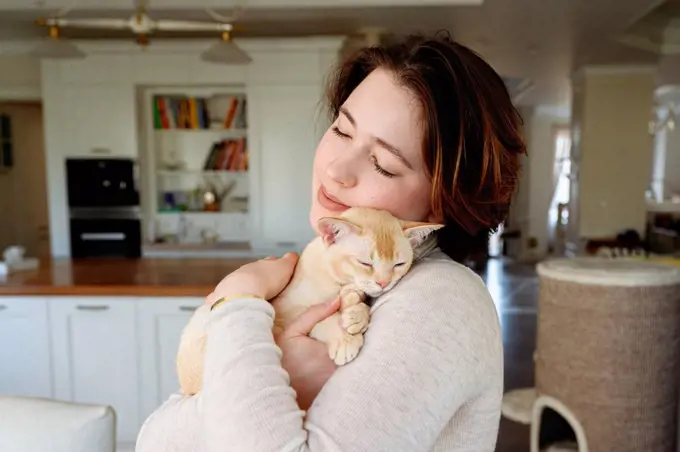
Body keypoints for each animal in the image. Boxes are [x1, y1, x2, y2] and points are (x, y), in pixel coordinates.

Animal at [175, 207, 444, 396]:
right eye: (366, 262)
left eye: (399, 264)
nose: (384, 283)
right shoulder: (285, 315)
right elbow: (323, 318)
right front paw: (345, 338)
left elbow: (354, 299)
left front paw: (356, 313)